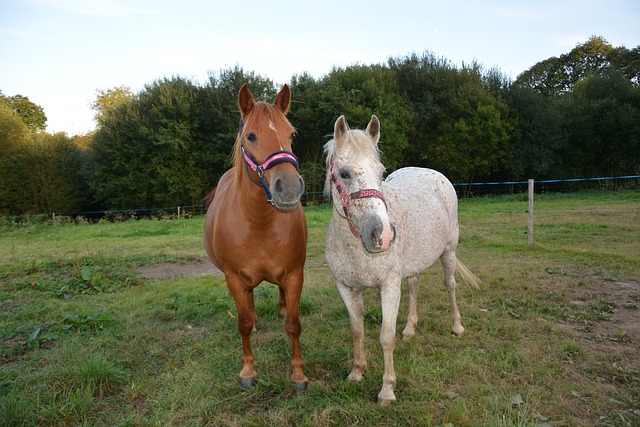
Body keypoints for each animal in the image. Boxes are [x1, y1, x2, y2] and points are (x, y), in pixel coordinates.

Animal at [202, 83, 308, 392]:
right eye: (251, 136)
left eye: (291, 134)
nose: (289, 188)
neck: (259, 223)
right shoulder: (234, 279)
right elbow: (243, 324)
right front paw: (247, 370)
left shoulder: (295, 275)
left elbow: (294, 324)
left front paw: (298, 374)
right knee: (248, 306)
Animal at [324, 114, 480, 408]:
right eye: (344, 173)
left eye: (381, 172)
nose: (383, 235)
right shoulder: (346, 288)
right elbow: (357, 330)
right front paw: (357, 372)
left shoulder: (389, 287)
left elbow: (386, 337)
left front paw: (387, 390)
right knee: (414, 287)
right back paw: (409, 329)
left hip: (449, 252)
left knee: (450, 285)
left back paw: (457, 326)